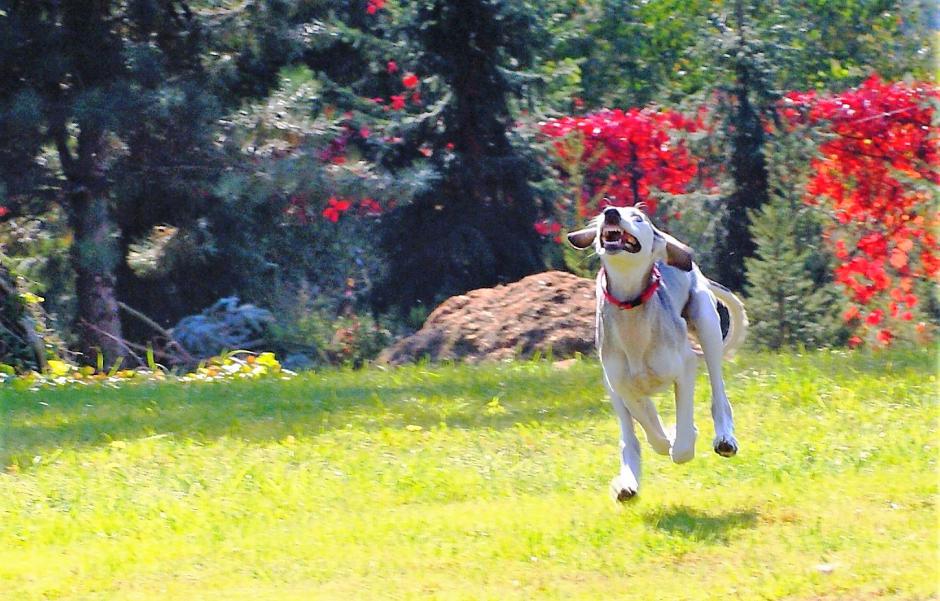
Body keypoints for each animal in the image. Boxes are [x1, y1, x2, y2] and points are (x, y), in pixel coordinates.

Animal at [564, 206, 748, 502]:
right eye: (605, 211)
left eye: (638, 218)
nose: (611, 213)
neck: (630, 305)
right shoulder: (621, 385)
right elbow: (647, 423)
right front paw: (664, 439)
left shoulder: (685, 367)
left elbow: (683, 428)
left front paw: (682, 443)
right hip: (610, 386)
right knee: (630, 436)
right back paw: (628, 483)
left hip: (706, 324)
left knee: (719, 395)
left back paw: (725, 439)